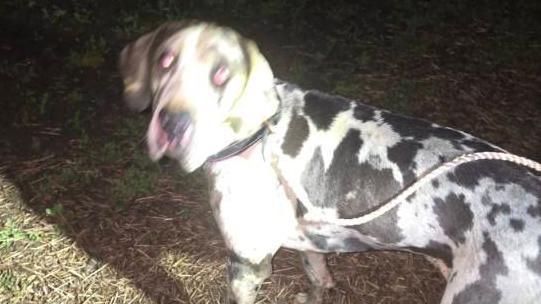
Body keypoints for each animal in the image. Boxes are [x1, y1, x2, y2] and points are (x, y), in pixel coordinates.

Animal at [120, 21, 540, 304]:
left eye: (222, 74)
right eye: (165, 60)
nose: (171, 123)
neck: (257, 134)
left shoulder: (246, 265)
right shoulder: (312, 239)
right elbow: (317, 274)